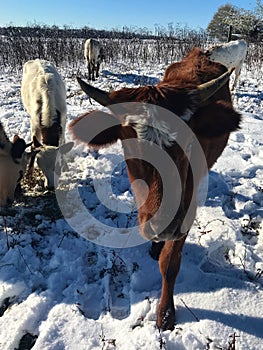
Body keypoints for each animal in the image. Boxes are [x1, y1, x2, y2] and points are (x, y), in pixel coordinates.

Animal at [21, 58, 72, 189]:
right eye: (41, 167)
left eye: (57, 166)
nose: (50, 186)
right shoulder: (34, 124)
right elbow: (33, 146)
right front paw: (29, 173)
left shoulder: (63, 120)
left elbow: (62, 142)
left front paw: (66, 166)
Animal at [69, 48, 242, 330]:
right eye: (128, 146)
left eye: (189, 143)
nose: (163, 224)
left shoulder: (186, 211)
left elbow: (170, 263)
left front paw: (166, 313)